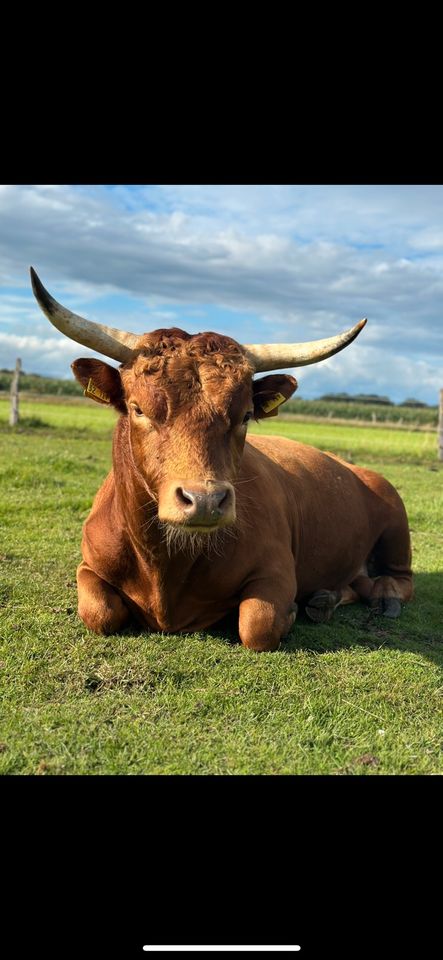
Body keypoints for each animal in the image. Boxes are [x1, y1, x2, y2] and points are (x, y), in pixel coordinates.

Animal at [30, 266, 412, 648]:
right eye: (138, 409)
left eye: (245, 415)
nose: (205, 501)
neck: (166, 568)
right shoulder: (88, 566)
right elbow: (100, 612)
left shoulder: (276, 572)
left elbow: (258, 624)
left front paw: (290, 612)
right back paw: (325, 598)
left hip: (396, 519)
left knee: (399, 580)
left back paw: (382, 597)